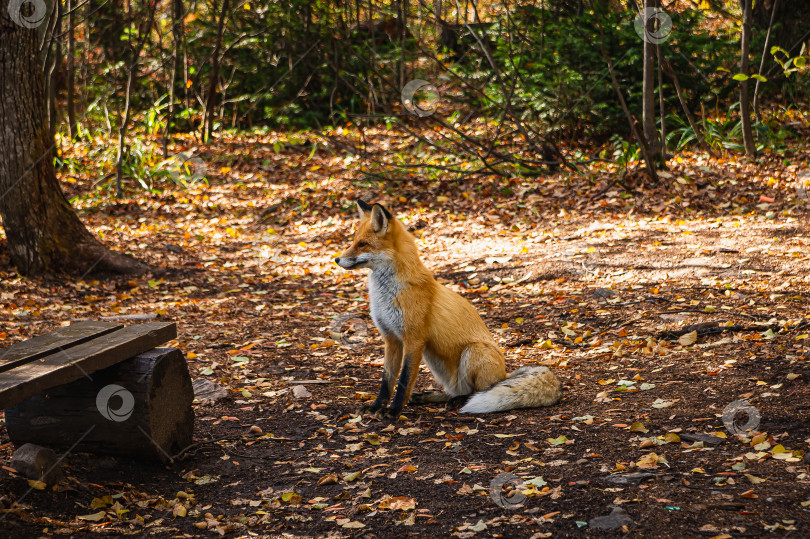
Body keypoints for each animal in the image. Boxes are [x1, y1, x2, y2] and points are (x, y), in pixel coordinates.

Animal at [332, 200, 560, 420]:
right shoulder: (391, 339)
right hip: (434, 361)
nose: (336, 259)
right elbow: (386, 381)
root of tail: (504, 375)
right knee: (455, 391)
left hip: (473, 352)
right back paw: (432, 397)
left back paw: (461, 401)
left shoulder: (414, 340)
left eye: (362, 244)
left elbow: (404, 380)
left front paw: (393, 412)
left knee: (479, 391)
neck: (387, 294)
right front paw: (376, 407)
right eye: (353, 241)